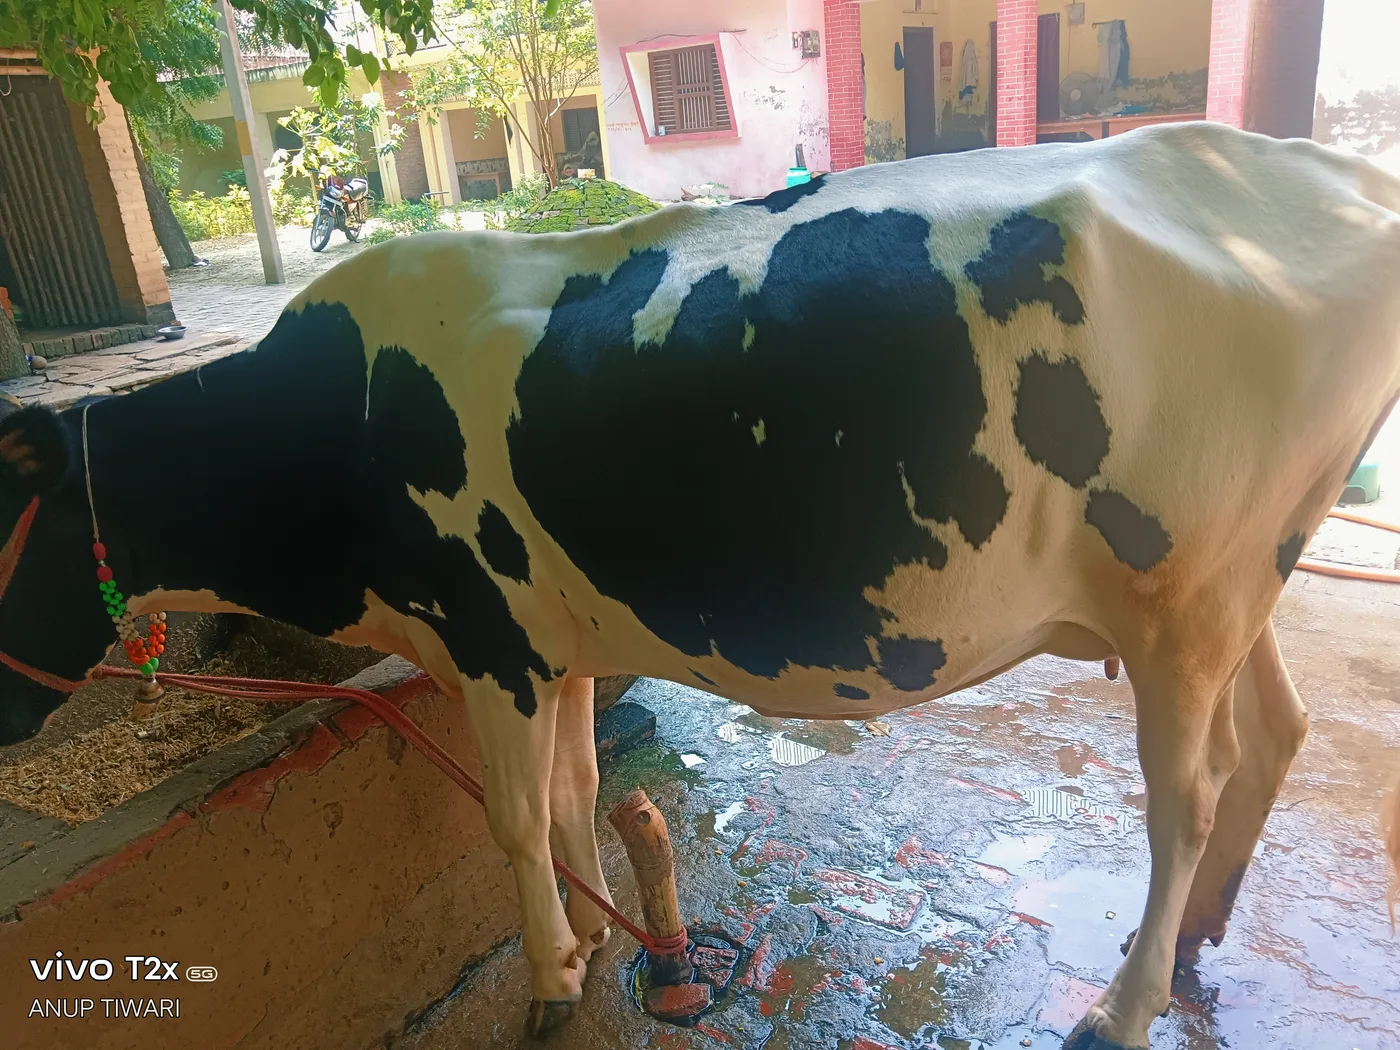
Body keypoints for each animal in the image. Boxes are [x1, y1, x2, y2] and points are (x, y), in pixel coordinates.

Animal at [1, 122, 1398, 1050]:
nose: (11, 715)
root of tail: (1312, 169)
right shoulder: (548, 644)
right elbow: (572, 794)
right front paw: (602, 941)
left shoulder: (487, 636)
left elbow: (513, 817)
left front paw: (551, 980)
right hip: (1235, 584)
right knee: (1273, 735)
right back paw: (1199, 932)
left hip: (1180, 599)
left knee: (1185, 794)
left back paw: (1124, 1002)